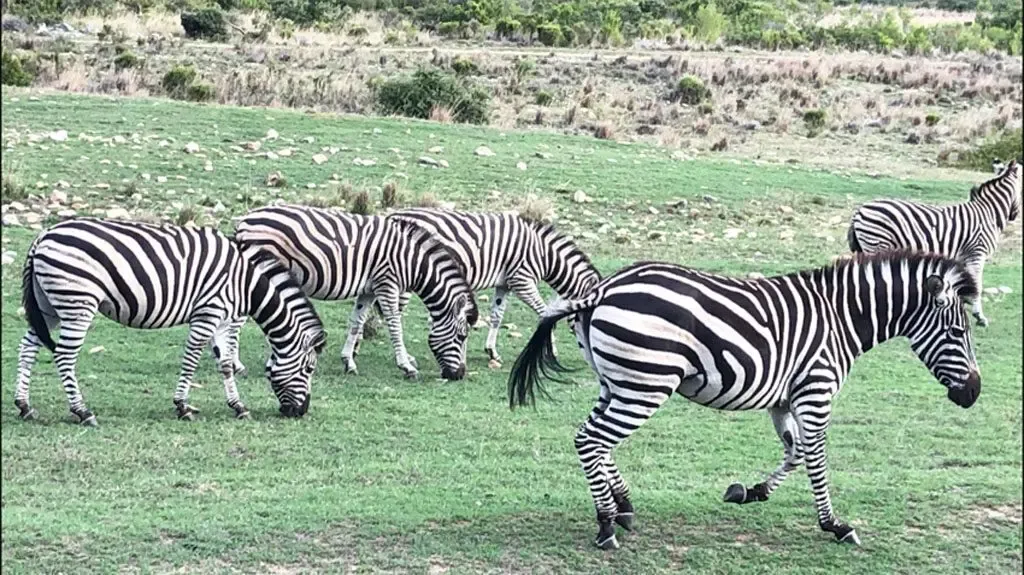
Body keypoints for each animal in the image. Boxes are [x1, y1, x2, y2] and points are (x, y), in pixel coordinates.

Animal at [15, 218, 327, 425]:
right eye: (309, 368)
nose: (300, 412)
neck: (245, 283)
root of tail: (43, 236)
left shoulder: (223, 319)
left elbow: (225, 365)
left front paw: (238, 406)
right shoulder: (208, 312)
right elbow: (191, 360)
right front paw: (183, 406)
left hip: (48, 305)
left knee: (27, 346)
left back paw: (25, 405)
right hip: (77, 302)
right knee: (64, 356)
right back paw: (82, 411)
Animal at [229, 205, 479, 380]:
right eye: (461, 336)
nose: (459, 375)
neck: (411, 260)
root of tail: (244, 221)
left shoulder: (369, 289)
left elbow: (356, 322)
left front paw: (348, 362)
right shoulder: (387, 282)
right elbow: (395, 324)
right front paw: (406, 366)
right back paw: (236, 365)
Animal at [387, 208, 601, 362]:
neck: (543, 254)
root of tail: (393, 215)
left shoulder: (505, 284)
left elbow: (497, 316)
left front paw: (491, 351)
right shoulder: (521, 280)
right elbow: (544, 313)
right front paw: (552, 351)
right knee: (395, 315)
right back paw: (405, 357)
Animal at [508, 251, 981, 550]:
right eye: (959, 332)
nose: (974, 393)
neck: (842, 319)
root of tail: (604, 288)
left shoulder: (785, 398)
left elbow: (794, 451)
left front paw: (749, 492)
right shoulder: (816, 390)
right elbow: (816, 457)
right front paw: (834, 525)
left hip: (618, 382)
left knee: (596, 440)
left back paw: (623, 507)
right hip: (646, 384)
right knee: (591, 440)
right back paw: (607, 524)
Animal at [847, 159, 1020, 327]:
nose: (1014, 215)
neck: (988, 213)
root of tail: (859, 211)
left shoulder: (964, 256)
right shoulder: (976, 252)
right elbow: (977, 283)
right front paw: (979, 316)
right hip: (877, 244)